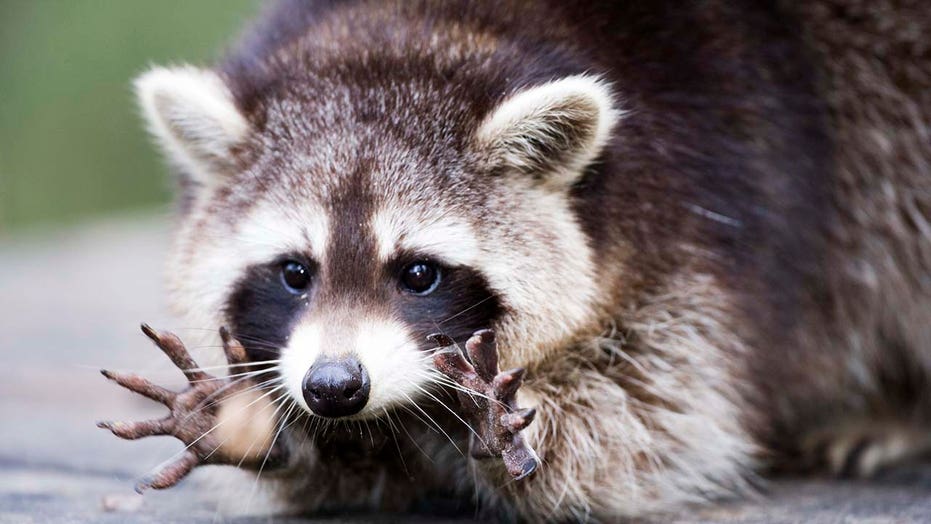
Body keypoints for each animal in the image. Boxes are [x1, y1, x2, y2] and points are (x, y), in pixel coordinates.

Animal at [102, 0, 931, 520]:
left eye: (419, 273)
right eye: (294, 272)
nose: (335, 388)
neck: (422, 31)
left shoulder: (713, 210)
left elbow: (650, 420)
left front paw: (490, 434)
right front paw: (275, 432)